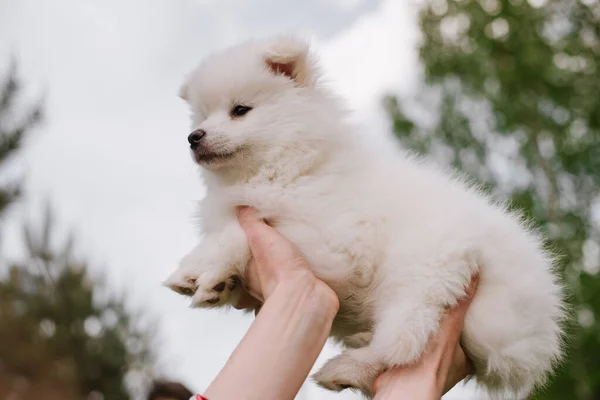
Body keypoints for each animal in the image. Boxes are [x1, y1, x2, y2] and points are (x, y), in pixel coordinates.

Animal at [165, 36, 568, 398]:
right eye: (202, 116)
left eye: (240, 110)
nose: (194, 136)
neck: (293, 167)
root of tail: (538, 313)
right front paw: (210, 280)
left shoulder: (333, 246)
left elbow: (241, 230)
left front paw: (206, 270)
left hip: (421, 279)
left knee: (403, 342)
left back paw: (343, 369)